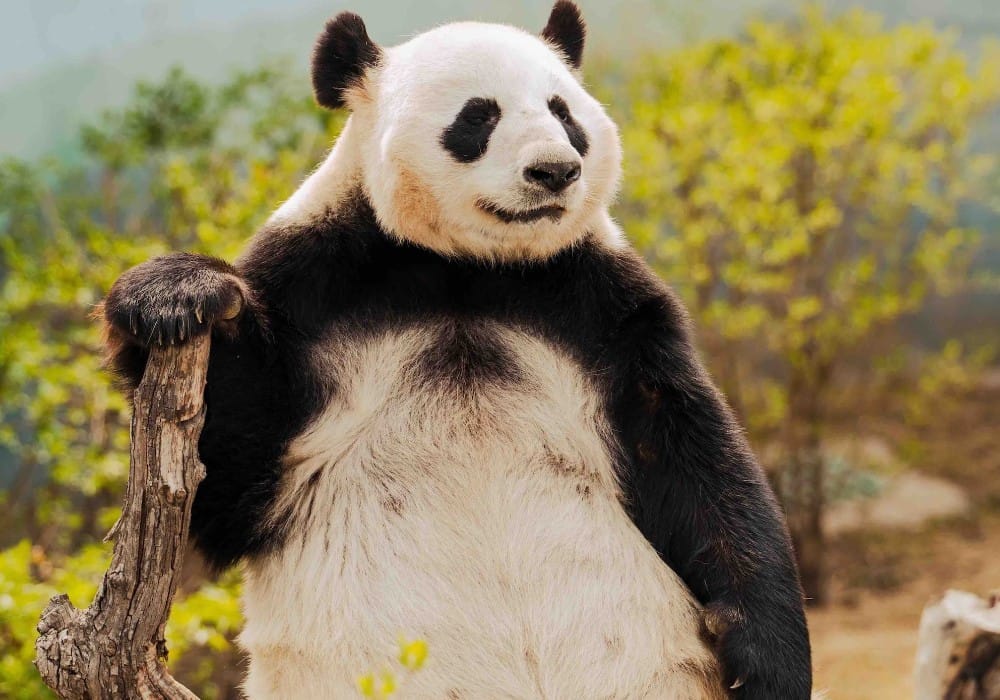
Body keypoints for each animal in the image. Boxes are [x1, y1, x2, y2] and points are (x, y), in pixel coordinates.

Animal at [103, 2, 812, 696]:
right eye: (479, 115)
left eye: (563, 111)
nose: (556, 170)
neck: (466, 268)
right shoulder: (316, 290)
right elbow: (227, 475)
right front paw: (175, 295)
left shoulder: (597, 306)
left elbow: (692, 457)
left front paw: (765, 661)